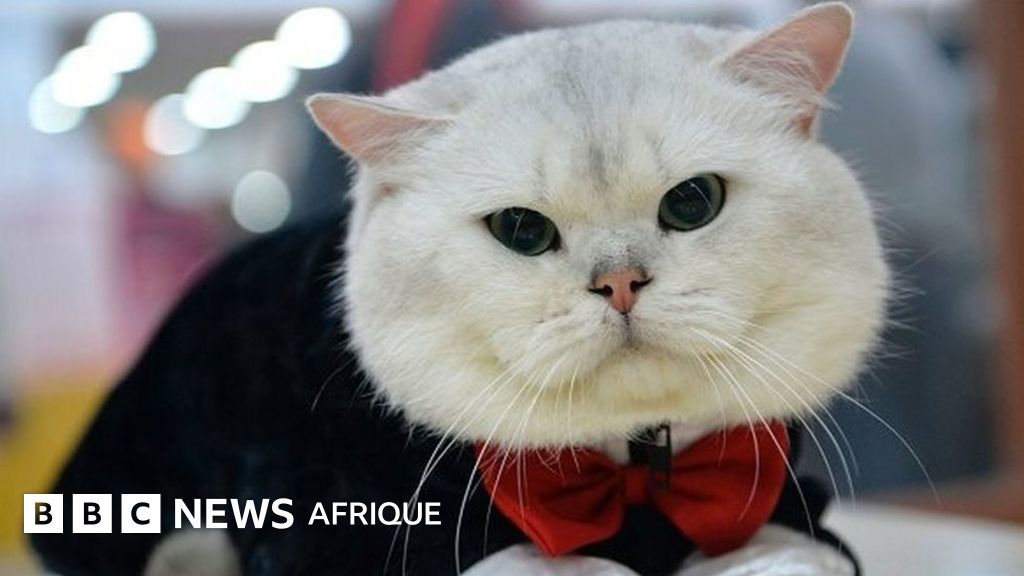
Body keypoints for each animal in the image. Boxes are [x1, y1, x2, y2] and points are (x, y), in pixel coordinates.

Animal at [33, 3, 883, 575]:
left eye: (693, 202)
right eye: (521, 229)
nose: (619, 282)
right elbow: (550, 564)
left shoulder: (784, 500)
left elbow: (789, 554)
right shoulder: (324, 517)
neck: (629, 474)